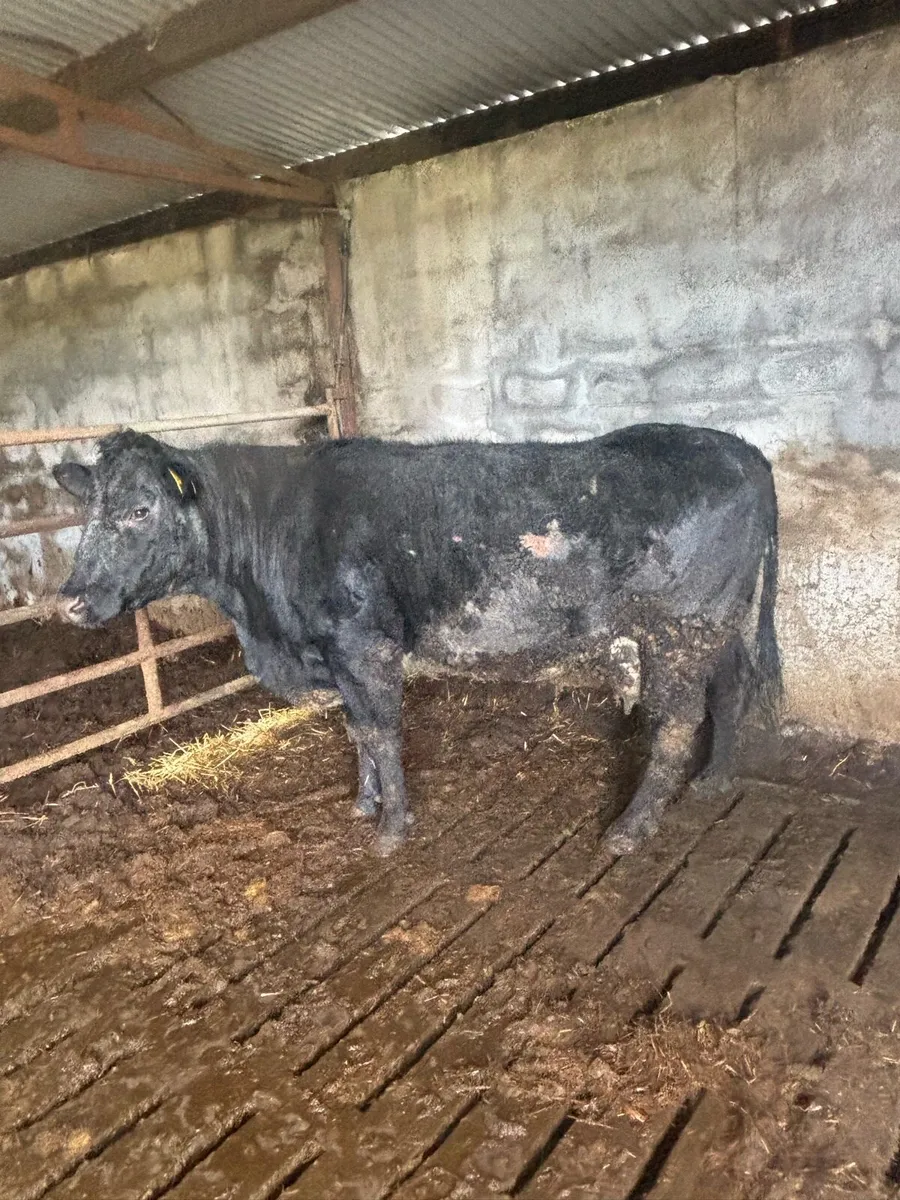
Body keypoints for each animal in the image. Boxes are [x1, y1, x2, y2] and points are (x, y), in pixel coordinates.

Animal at [53, 423, 781, 855]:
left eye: (140, 509)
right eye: (88, 511)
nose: (70, 598)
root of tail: (742, 448)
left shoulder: (363, 645)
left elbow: (381, 731)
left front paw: (391, 828)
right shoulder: (336, 654)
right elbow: (356, 731)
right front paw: (363, 802)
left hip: (680, 628)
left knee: (677, 724)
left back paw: (631, 829)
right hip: (720, 622)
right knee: (733, 682)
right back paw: (716, 778)